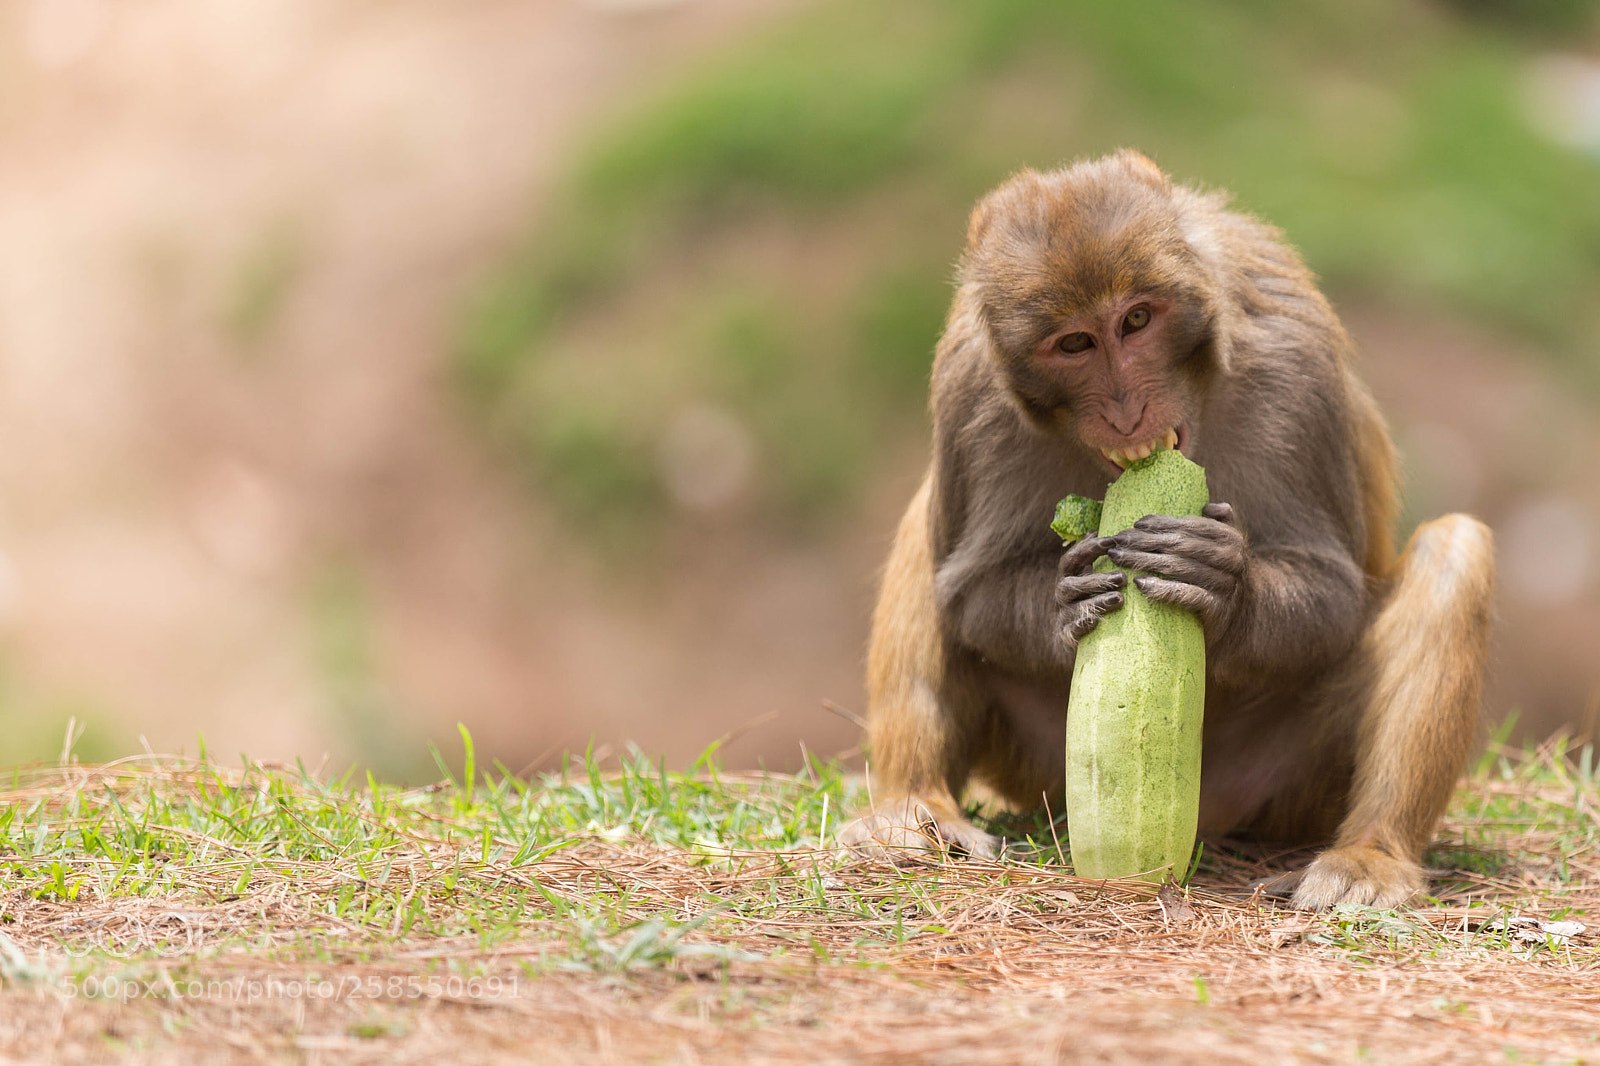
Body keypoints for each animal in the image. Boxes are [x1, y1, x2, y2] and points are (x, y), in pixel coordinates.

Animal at [838, 150, 1495, 909]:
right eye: (1075, 343)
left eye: (1137, 320)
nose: (1126, 410)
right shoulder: (971, 388)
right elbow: (972, 590)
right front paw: (1064, 602)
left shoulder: (1292, 362)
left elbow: (1331, 589)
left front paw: (1224, 588)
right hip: (1040, 770)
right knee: (927, 535)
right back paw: (912, 809)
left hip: (1295, 785)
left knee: (1453, 552)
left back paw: (1370, 855)